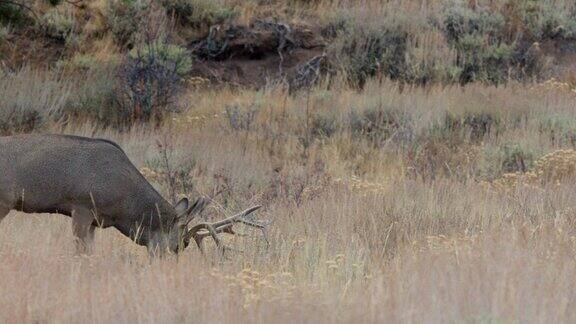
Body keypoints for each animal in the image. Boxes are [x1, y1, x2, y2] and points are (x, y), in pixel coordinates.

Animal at [0, 134, 268, 256]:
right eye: (180, 244)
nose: (167, 264)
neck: (121, 207)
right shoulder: (82, 205)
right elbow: (80, 250)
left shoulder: (95, 220)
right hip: (4, 200)